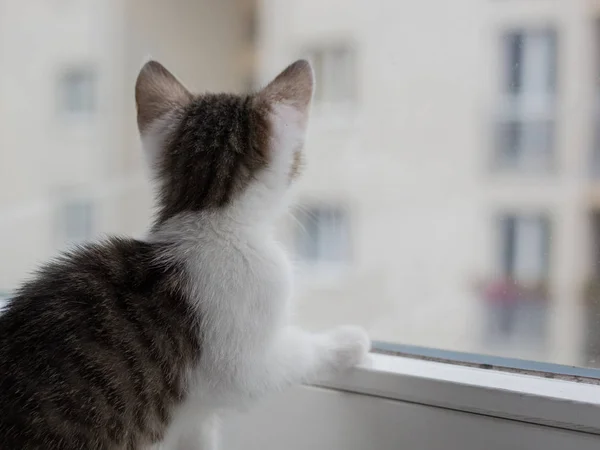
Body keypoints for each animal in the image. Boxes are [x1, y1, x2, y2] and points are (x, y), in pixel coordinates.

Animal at [0, 60, 370, 450]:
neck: (208, 216)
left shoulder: (194, 418)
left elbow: (199, 434)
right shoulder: (246, 364)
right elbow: (293, 354)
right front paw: (344, 342)